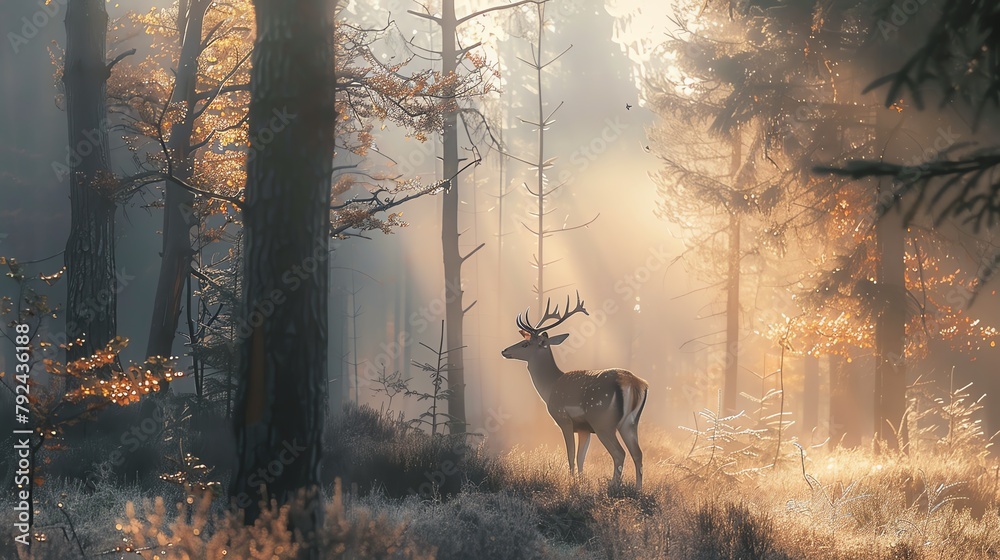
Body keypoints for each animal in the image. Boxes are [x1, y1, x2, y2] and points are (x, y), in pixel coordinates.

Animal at [501, 292, 649, 491]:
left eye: (525, 344)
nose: (504, 350)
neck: (550, 387)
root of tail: (636, 384)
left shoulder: (564, 419)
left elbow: (571, 455)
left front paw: (571, 483)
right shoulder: (584, 429)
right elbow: (580, 458)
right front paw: (580, 482)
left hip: (603, 421)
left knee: (620, 453)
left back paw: (612, 486)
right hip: (630, 423)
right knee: (638, 454)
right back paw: (638, 489)